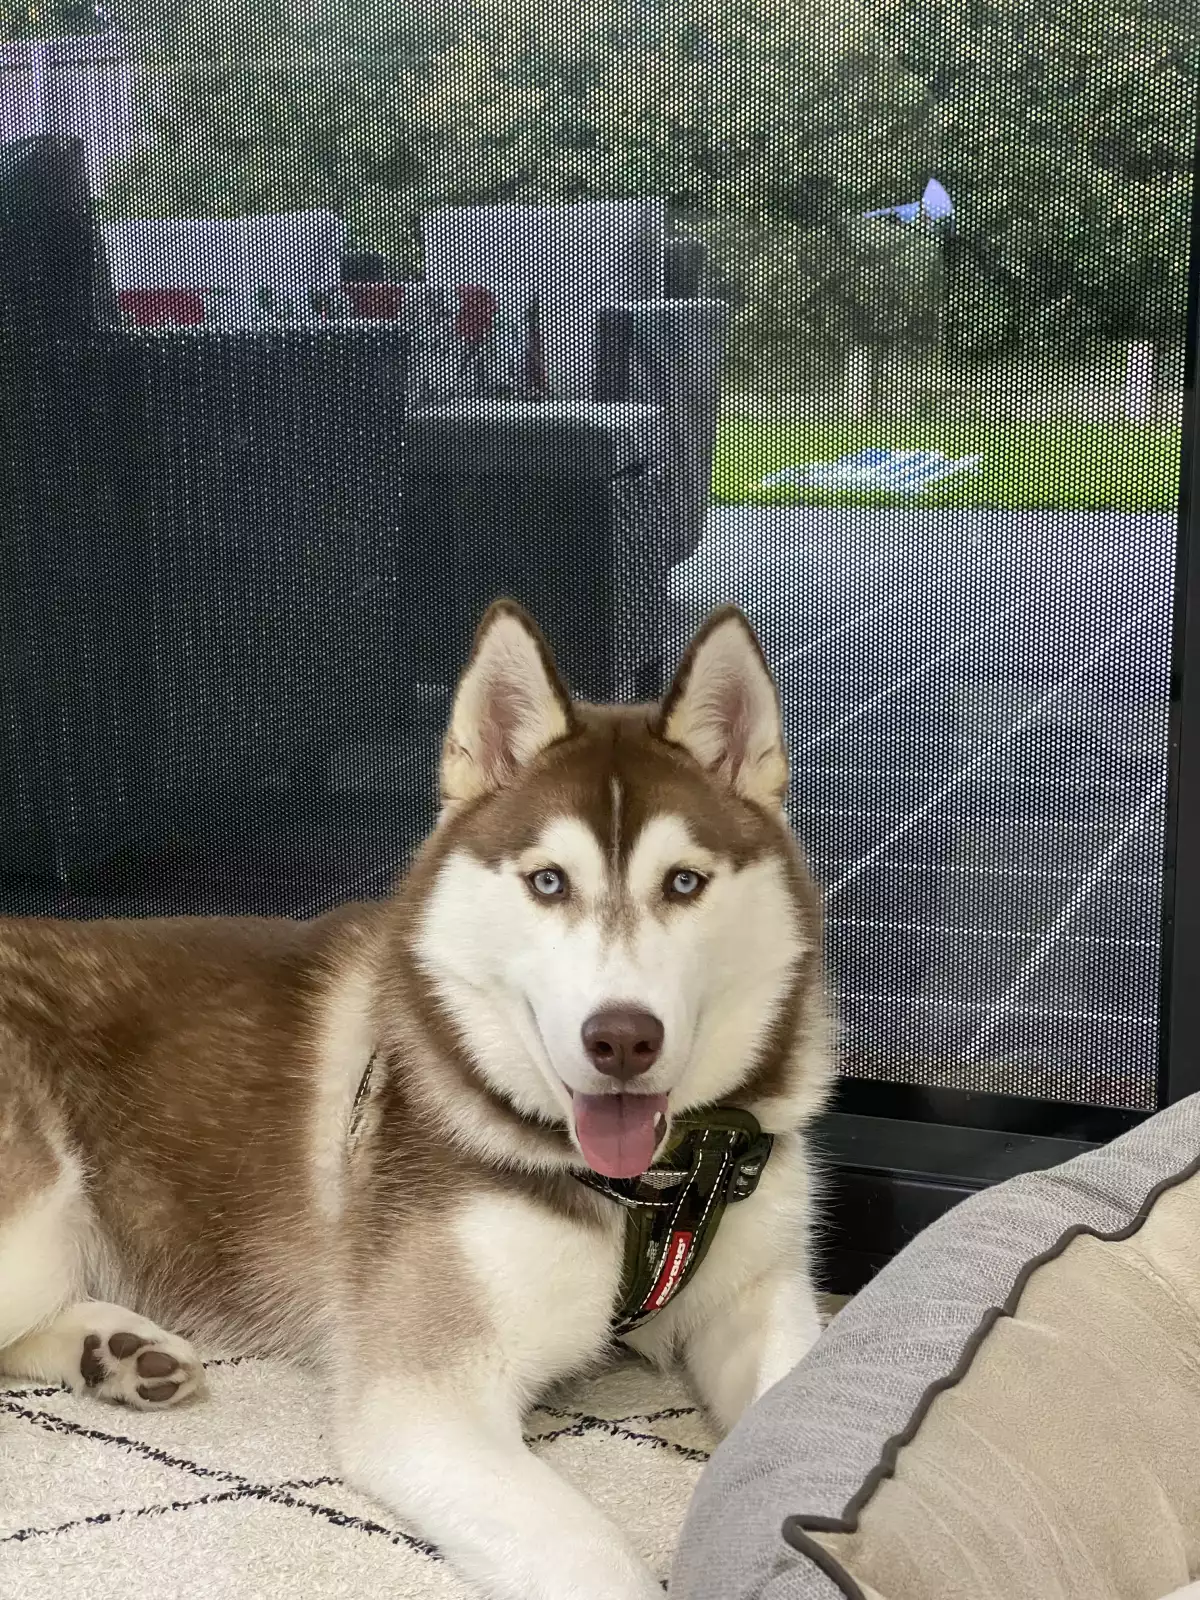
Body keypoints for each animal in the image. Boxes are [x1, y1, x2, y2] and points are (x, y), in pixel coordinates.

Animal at [0, 599, 833, 1600]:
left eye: (685, 882)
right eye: (548, 881)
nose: (623, 1038)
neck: (645, 1189)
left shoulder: (756, 1290)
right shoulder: (426, 1402)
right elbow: (593, 1555)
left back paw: (116, 1353)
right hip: (35, 1217)